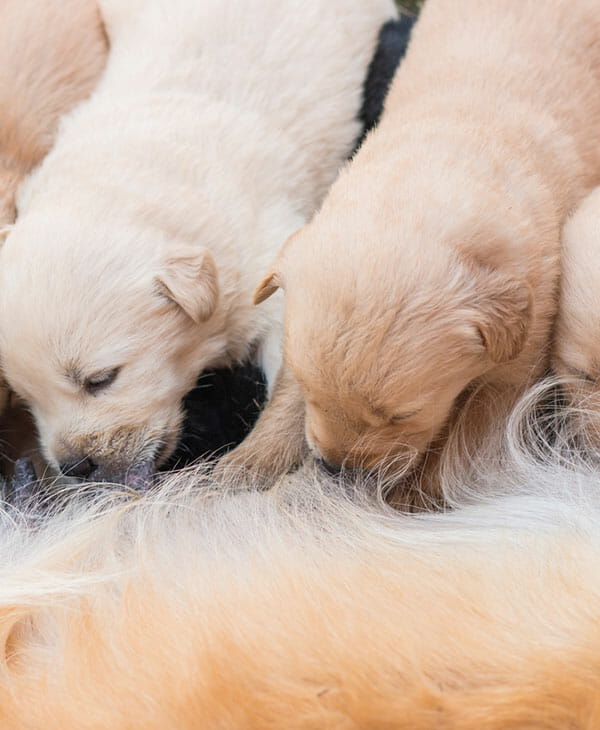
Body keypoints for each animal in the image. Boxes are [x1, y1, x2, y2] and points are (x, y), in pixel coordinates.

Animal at [0, 1, 398, 490]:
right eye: (23, 396)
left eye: (100, 379)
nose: (75, 466)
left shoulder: (274, 271)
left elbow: (295, 386)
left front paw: (251, 463)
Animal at [254, 0, 600, 498]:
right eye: (313, 394)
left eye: (402, 415)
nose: (337, 469)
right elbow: (285, 395)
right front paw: (249, 461)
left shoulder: (518, 362)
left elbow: (464, 445)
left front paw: (412, 498)